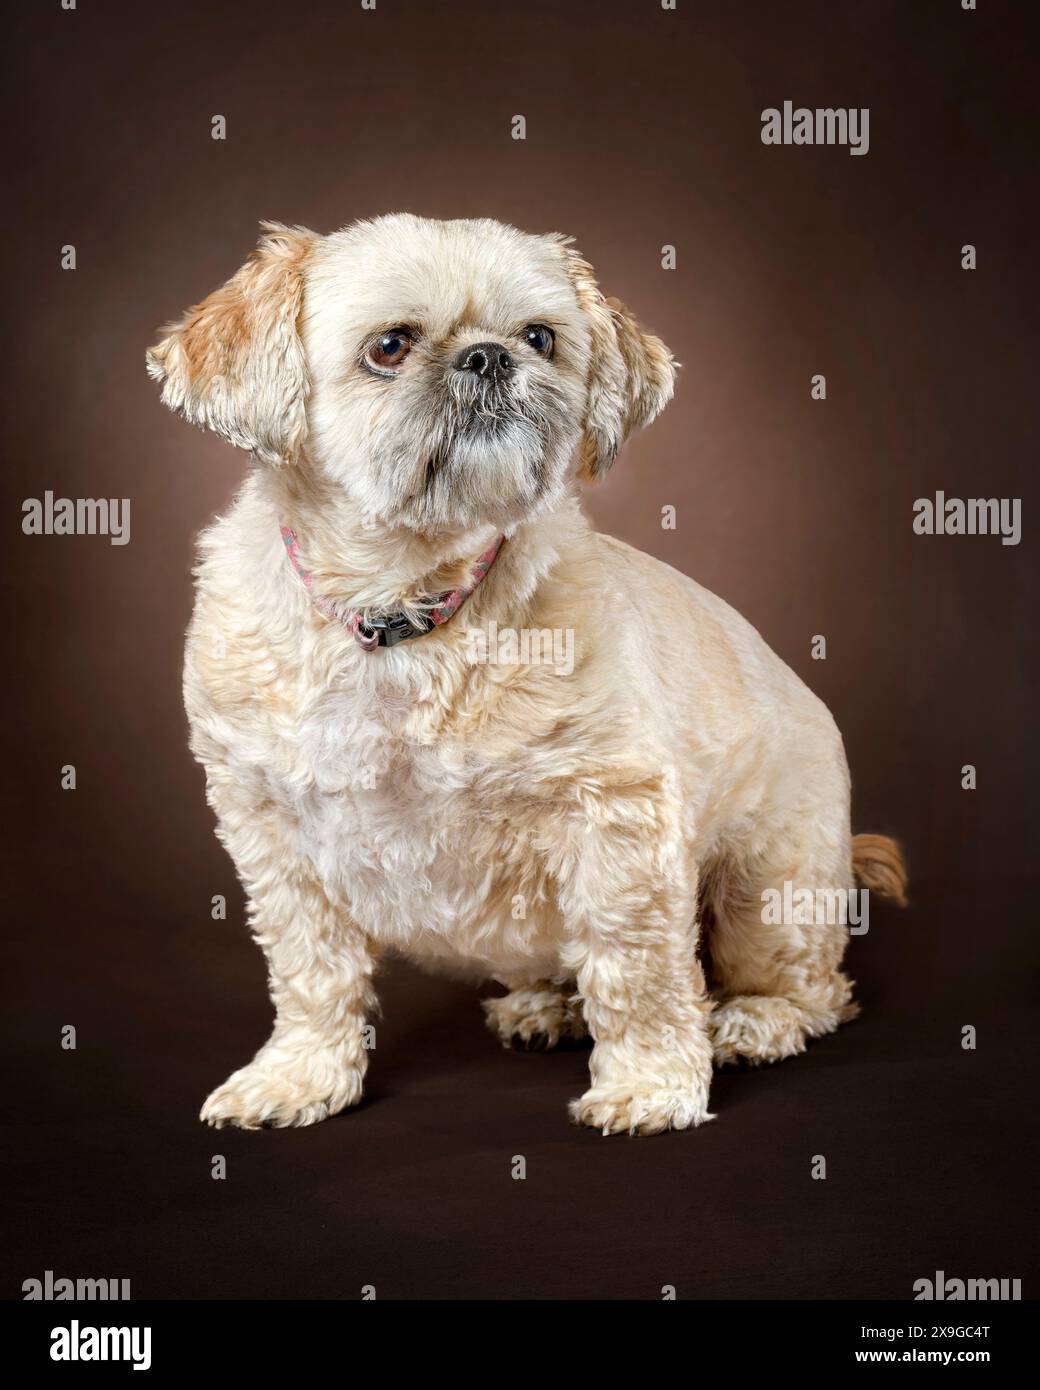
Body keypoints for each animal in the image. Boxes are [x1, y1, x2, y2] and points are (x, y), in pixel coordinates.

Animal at [143, 211, 900, 1134]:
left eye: (540, 337)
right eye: (389, 346)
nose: (489, 356)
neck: (403, 612)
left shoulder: (617, 820)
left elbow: (639, 970)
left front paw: (651, 1084)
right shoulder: (271, 832)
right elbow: (310, 970)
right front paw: (300, 1076)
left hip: (769, 889)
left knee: (815, 990)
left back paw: (756, 1020)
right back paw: (549, 1005)